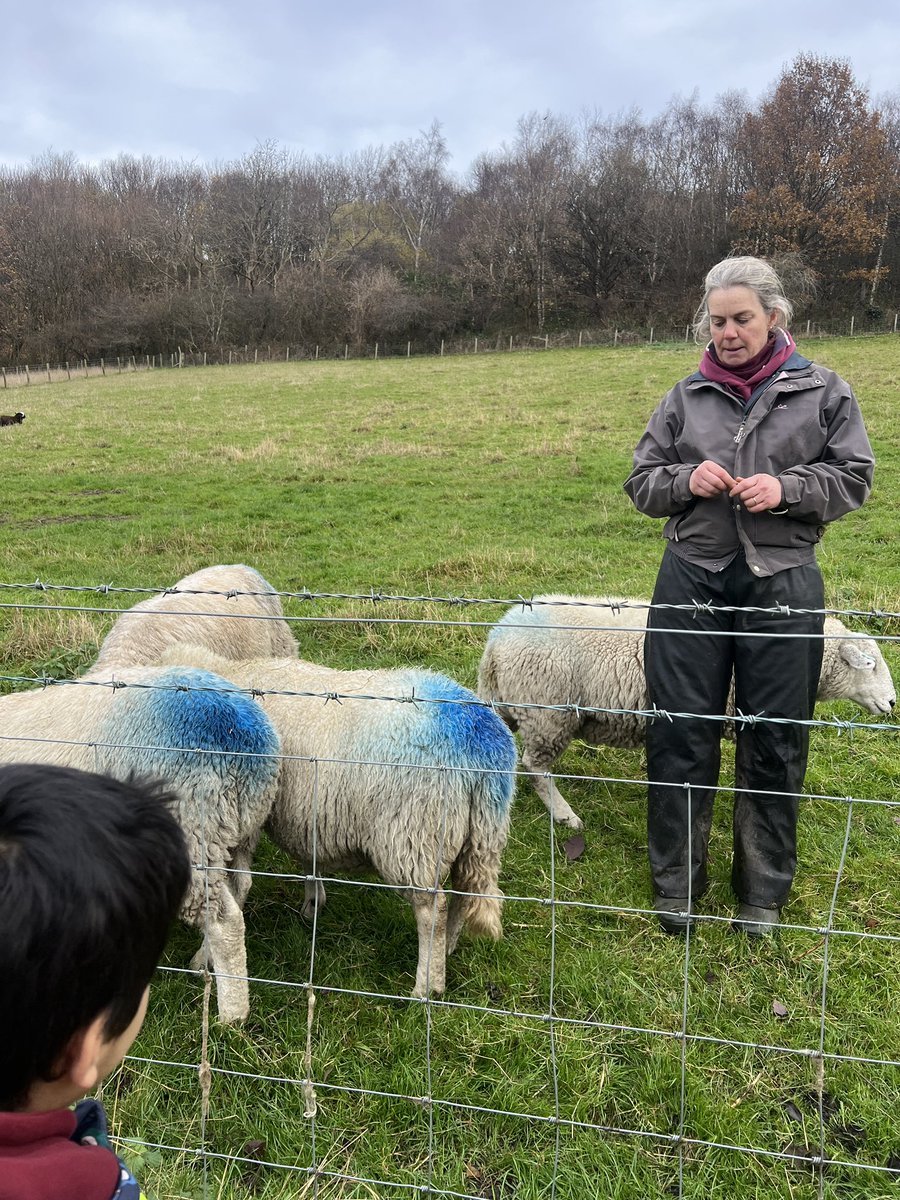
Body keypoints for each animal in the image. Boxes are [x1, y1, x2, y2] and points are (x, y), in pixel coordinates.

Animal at [0, 664, 281, 1024]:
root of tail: (245, 741)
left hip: (193, 828)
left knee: (225, 923)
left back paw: (231, 1017)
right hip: (235, 832)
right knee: (239, 888)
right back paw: (203, 962)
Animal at [156, 644, 517, 999]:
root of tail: (480, 740)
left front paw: (204, 957)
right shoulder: (305, 811)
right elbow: (308, 860)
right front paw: (312, 904)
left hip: (413, 835)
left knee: (433, 910)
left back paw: (426, 986)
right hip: (479, 835)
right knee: (464, 895)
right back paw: (448, 951)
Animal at [477, 595, 897, 830]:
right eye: (871, 664)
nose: (893, 703)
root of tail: (497, 639)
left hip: (517, 707)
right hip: (549, 713)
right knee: (536, 767)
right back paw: (565, 816)